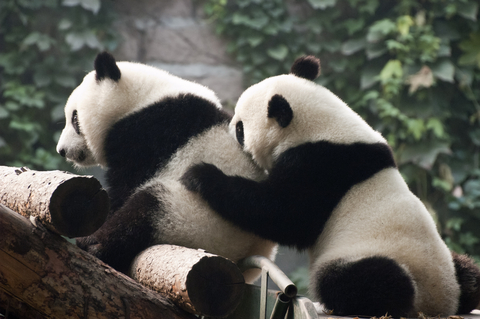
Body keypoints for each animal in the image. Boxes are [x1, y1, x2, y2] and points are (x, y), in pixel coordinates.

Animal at [56, 51, 276, 284]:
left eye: (75, 118)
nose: (62, 150)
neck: (140, 99)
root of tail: (243, 263)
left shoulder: (146, 135)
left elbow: (125, 188)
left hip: (197, 223)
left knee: (145, 210)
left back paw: (97, 244)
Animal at [180, 55, 480, 318]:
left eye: (241, 128)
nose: (230, 132)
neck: (322, 125)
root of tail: (440, 302)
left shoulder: (321, 166)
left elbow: (285, 215)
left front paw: (201, 175)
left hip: (366, 254)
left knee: (363, 279)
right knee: (469, 271)